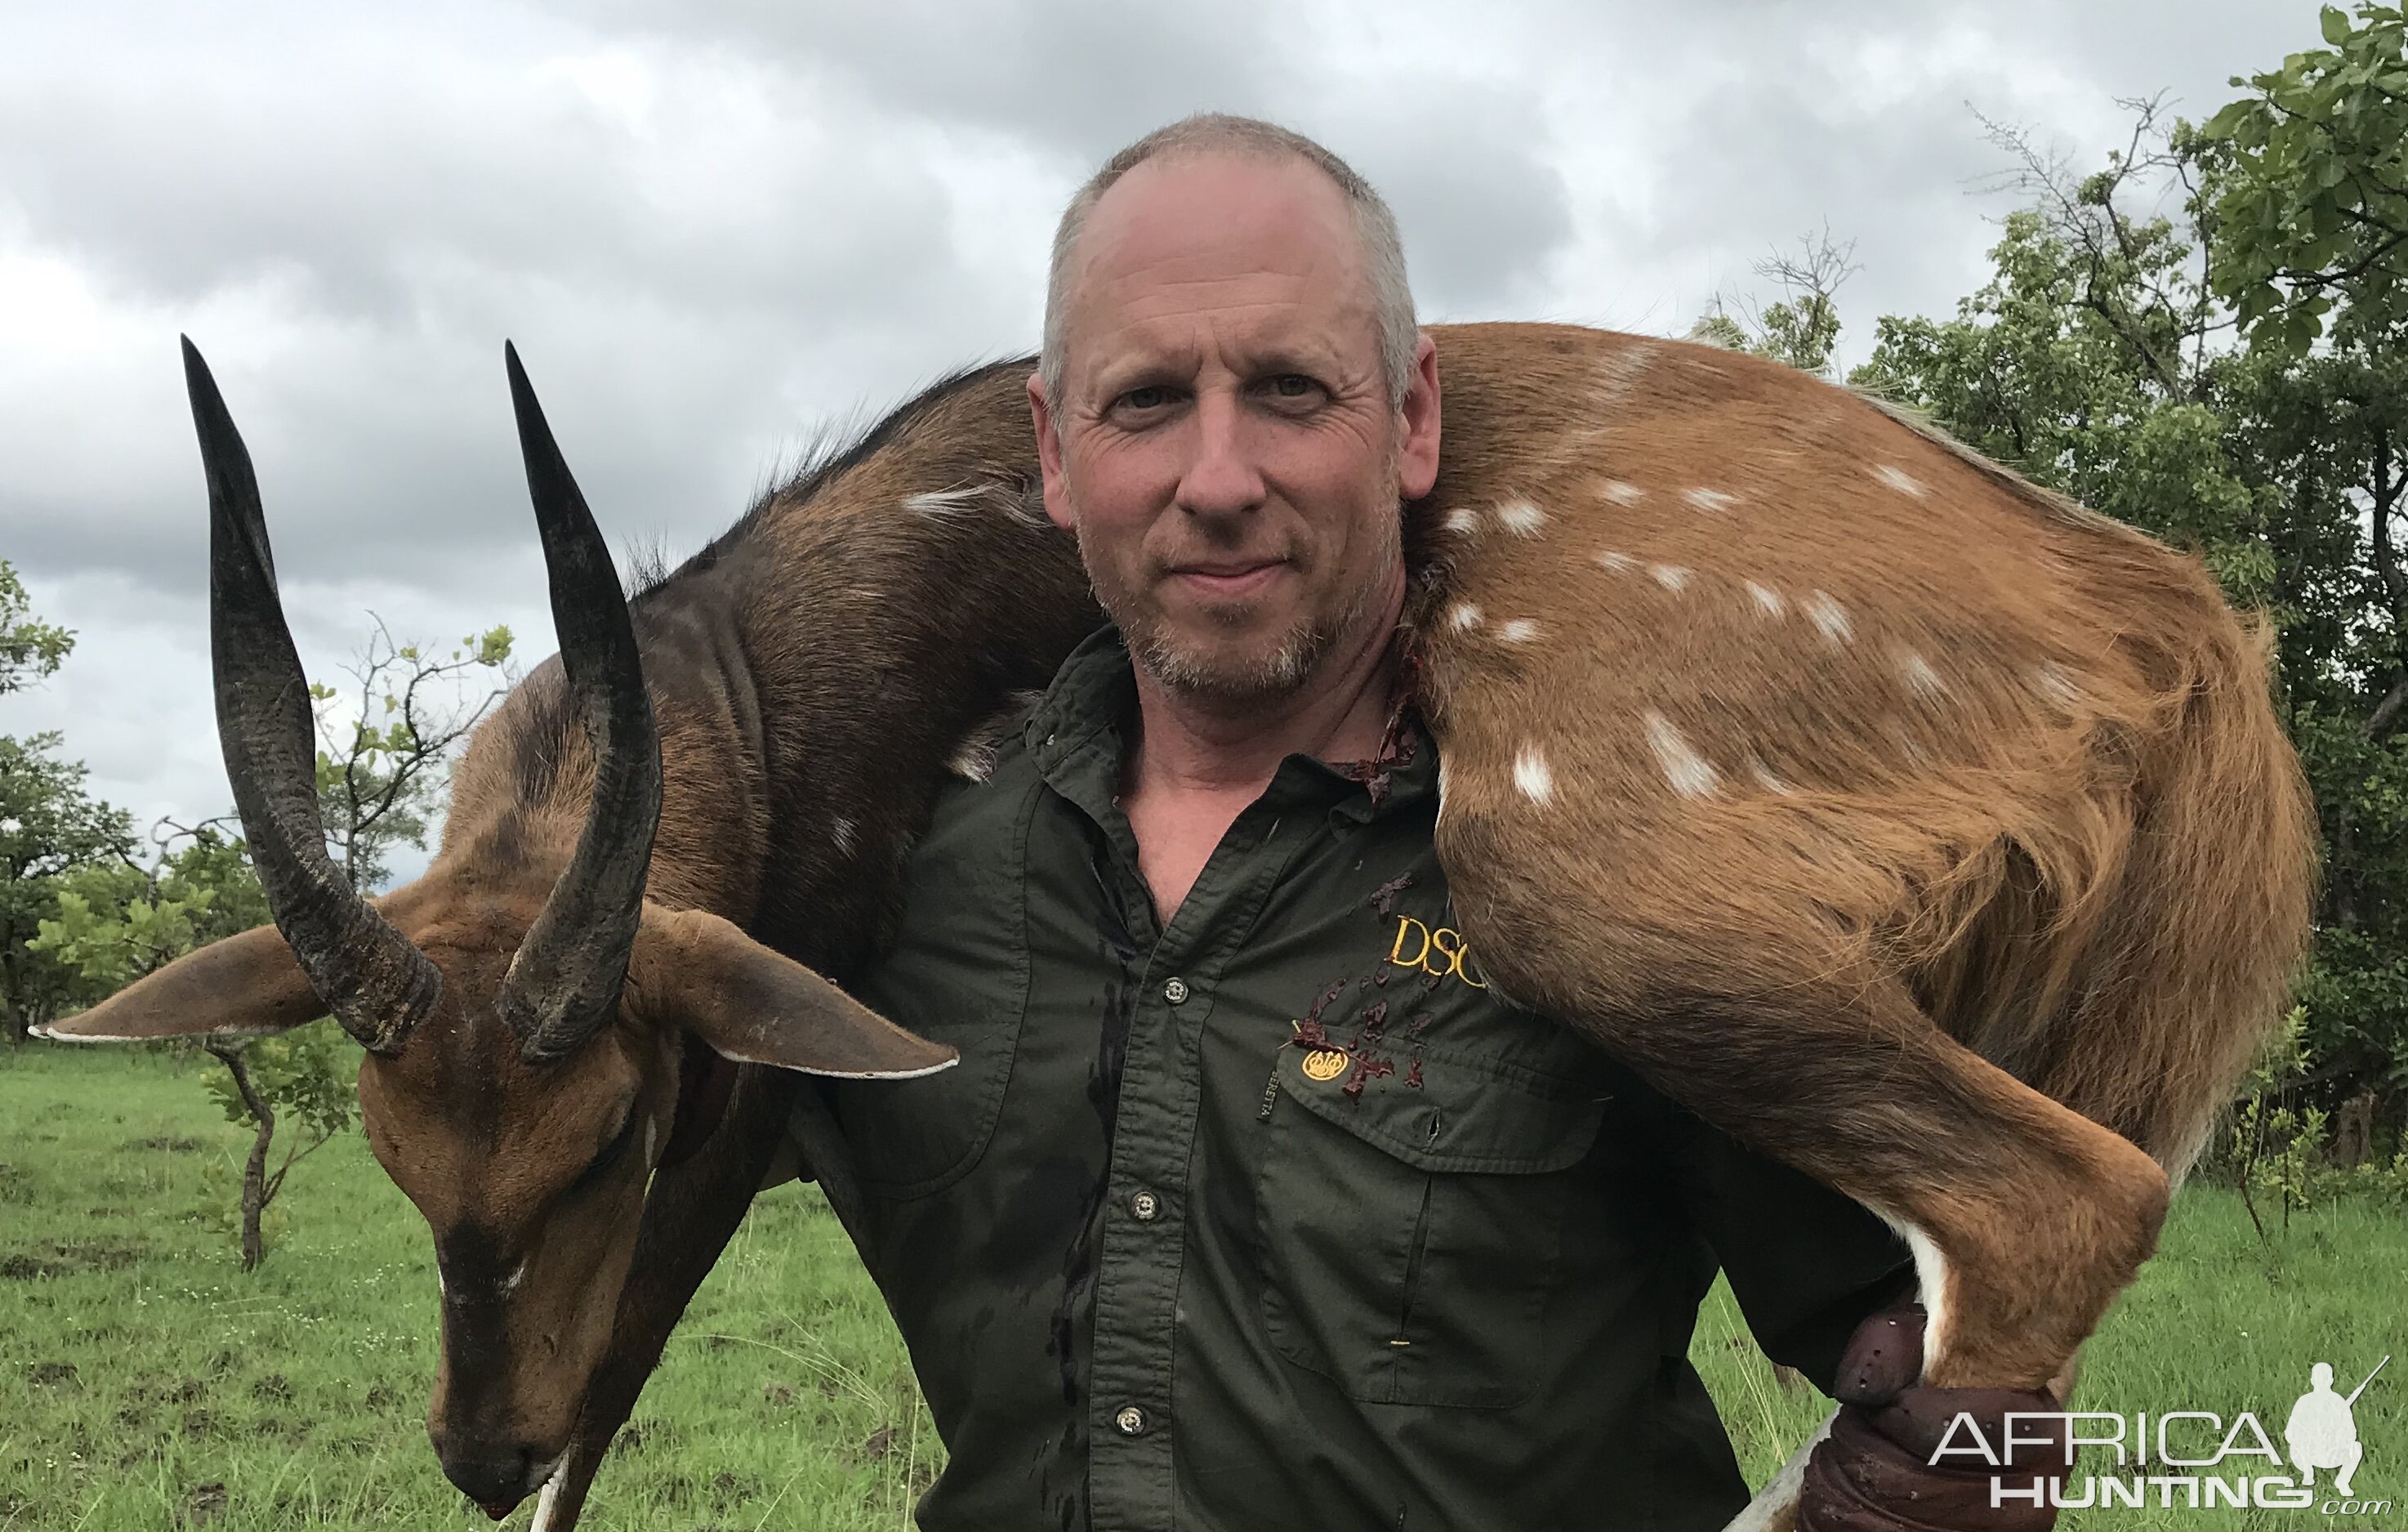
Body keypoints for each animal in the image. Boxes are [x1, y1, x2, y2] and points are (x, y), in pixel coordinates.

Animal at [47, 323, 2312, 1532]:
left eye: (606, 1129)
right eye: (384, 1145)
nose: (469, 1438)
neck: (775, 701)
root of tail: (2175, 630)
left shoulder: (740, 1106)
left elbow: (614, 1410)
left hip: (1589, 880)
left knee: (2066, 1200)